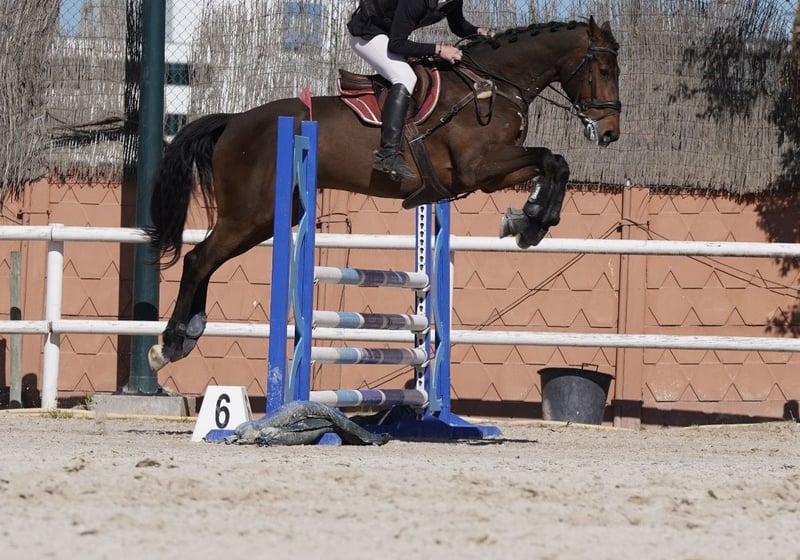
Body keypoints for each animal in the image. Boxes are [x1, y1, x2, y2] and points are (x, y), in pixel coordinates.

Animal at [146, 17, 622, 372]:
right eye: (603, 71)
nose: (610, 134)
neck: (491, 85)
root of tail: (234, 121)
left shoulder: (488, 174)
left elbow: (554, 162)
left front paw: (530, 219)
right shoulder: (478, 167)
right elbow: (552, 159)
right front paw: (532, 221)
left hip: (263, 218)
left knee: (206, 260)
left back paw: (188, 334)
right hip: (249, 214)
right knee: (198, 259)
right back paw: (168, 345)